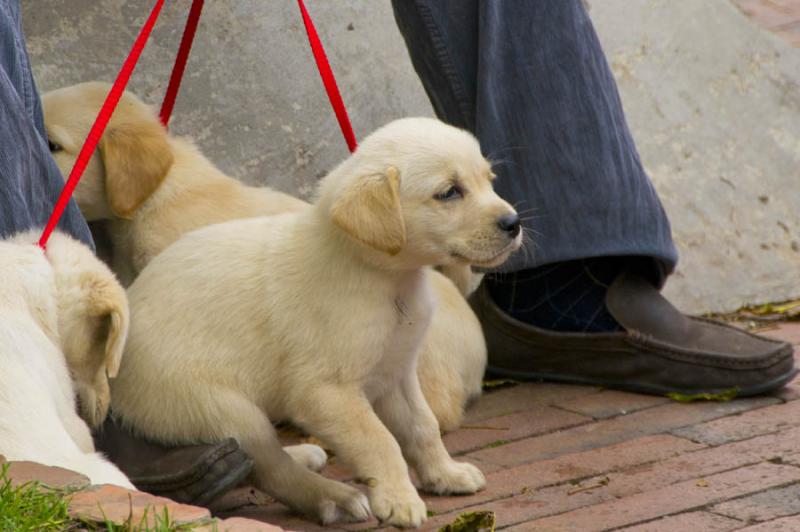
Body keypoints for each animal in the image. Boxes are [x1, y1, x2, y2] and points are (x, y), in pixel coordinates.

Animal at [111, 117, 524, 528]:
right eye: (449, 192)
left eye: (489, 180)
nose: (514, 223)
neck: (387, 280)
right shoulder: (326, 392)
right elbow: (380, 441)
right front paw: (399, 500)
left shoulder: (397, 372)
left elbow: (424, 427)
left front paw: (445, 475)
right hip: (224, 409)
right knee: (271, 469)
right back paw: (334, 498)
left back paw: (305, 455)